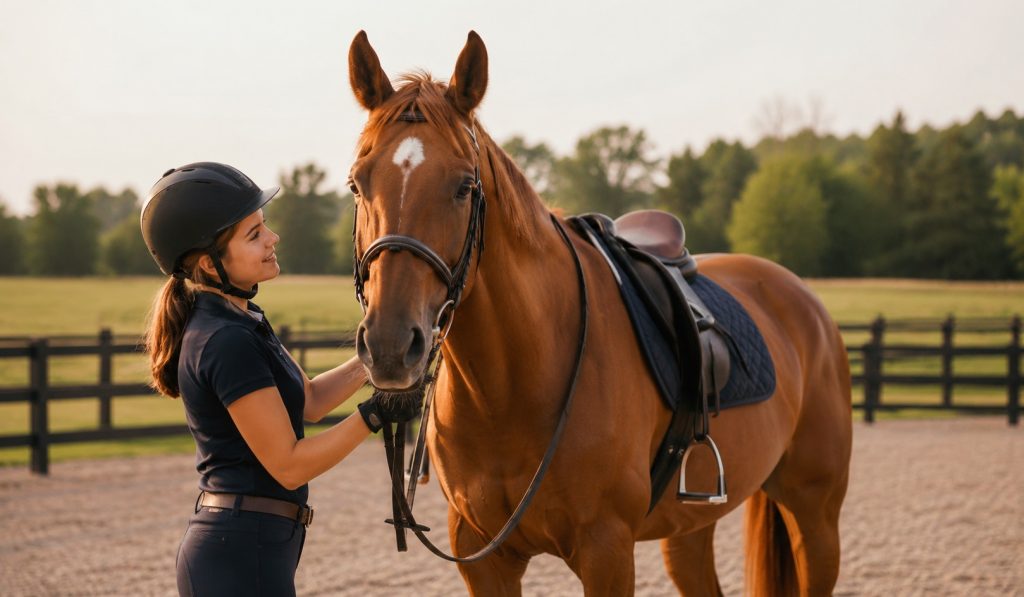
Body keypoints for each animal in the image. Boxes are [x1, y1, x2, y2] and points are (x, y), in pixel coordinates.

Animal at [346, 30, 853, 596]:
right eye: (357, 183)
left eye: (463, 186)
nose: (390, 345)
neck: (512, 388)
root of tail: (803, 299)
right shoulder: (481, 555)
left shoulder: (606, 549)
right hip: (689, 530)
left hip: (815, 515)